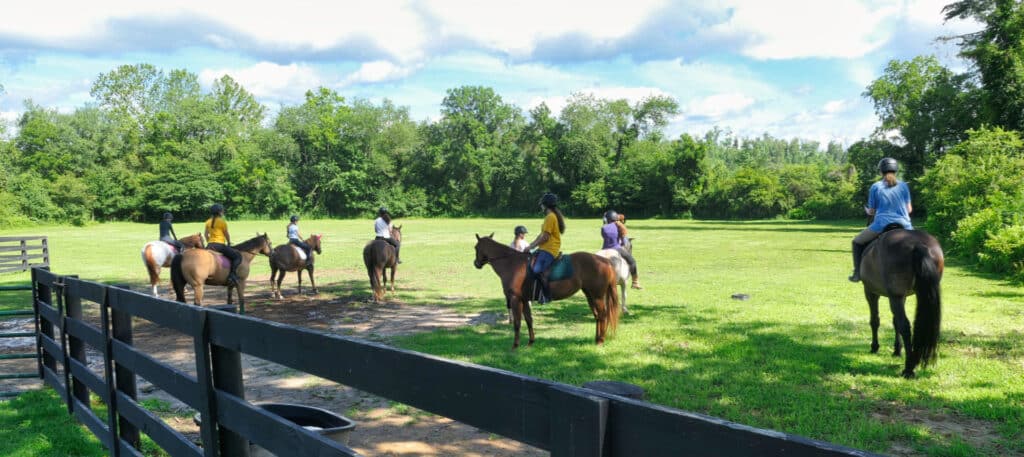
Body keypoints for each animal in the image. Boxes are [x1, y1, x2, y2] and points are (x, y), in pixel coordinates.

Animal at [468, 233, 618, 348]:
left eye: (476, 247)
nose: (476, 263)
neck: (511, 263)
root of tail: (604, 260)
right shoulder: (524, 299)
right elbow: (529, 320)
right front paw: (530, 342)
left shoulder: (516, 299)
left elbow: (517, 323)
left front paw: (515, 346)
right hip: (590, 295)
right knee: (597, 316)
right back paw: (597, 339)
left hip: (597, 296)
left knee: (602, 315)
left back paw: (601, 341)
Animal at [856, 228, 942, 379]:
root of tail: (918, 245)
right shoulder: (902, 297)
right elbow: (894, 322)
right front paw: (897, 350)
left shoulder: (871, 292)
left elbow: (875, 321)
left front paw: (874, 347)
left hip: (893, 297)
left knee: (905, 326)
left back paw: (908, 369)